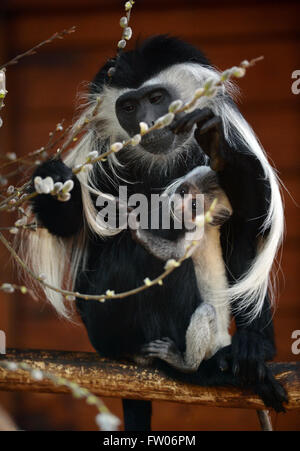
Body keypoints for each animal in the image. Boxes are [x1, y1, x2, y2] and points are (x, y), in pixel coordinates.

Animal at [131, 168, 232, 372]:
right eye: (183, 192)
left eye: (194, 205)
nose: (179, 205)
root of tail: (223, 340)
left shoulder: (197, 232)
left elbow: (176, 255)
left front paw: (136, 231)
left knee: (206, 311)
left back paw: (185, 364)